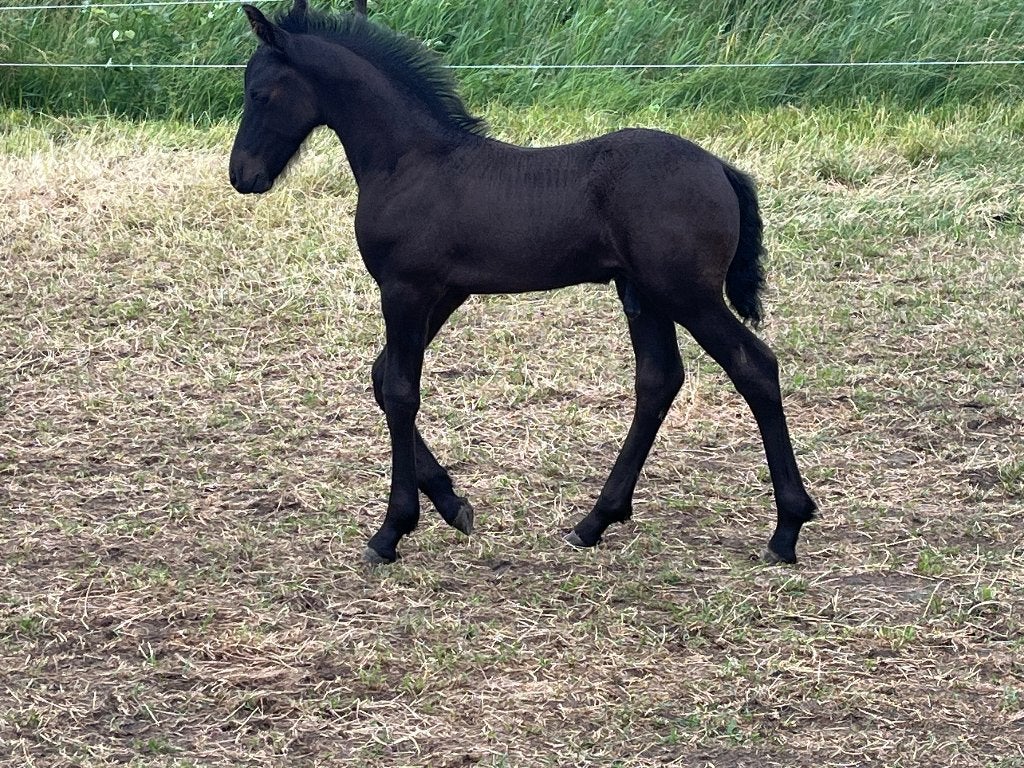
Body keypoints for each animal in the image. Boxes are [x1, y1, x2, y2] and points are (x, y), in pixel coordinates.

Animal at [229, 0, 818, 565]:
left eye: (259, 92)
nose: (241, 175)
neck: (410, 163)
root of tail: (720, 168)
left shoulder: (405, 289)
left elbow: (399, 391)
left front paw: (392, 530)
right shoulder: (443, 293)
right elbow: (381, 378)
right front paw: (452, 504)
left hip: (686, 294)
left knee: (754, 367)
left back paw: (787, 527)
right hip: (644, 294)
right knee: (659, 379)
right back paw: (595, 521)